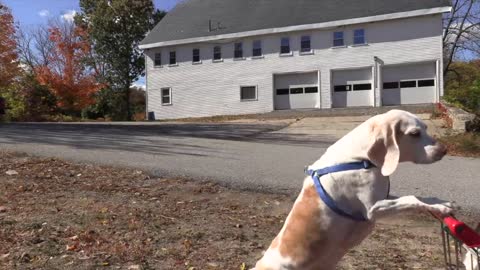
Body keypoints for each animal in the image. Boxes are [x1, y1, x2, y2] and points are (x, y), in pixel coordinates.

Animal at [253, 109, 452, 270]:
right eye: (415, 133)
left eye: (426, 127)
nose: (445, 150)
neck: (359, 158)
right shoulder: (373, 209)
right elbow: (410, 198)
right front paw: (441, 207)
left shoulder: (385, 197)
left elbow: (416, 197)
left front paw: (438, 202)